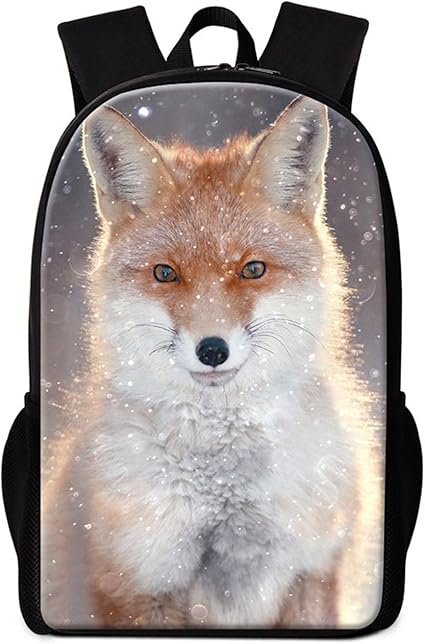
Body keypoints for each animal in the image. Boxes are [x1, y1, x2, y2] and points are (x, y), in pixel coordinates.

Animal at [41, 94, 383, 629]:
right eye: (165, 273)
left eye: (253, 269)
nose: (212, 350)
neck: (225, 488)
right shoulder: (140, 581)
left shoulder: (313, 569)